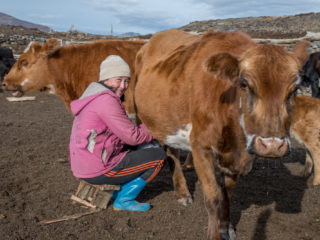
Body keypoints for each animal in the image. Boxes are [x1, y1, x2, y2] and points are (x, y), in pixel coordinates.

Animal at [133, 29, 308, 240]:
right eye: (244, 84)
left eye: (295, 89)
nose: (272, 145)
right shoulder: (201, 147)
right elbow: (213, 197)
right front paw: (214, 233)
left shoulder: (237, 159)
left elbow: (226, 195)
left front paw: (226, 227)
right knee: (171, 154)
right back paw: (183, 194)